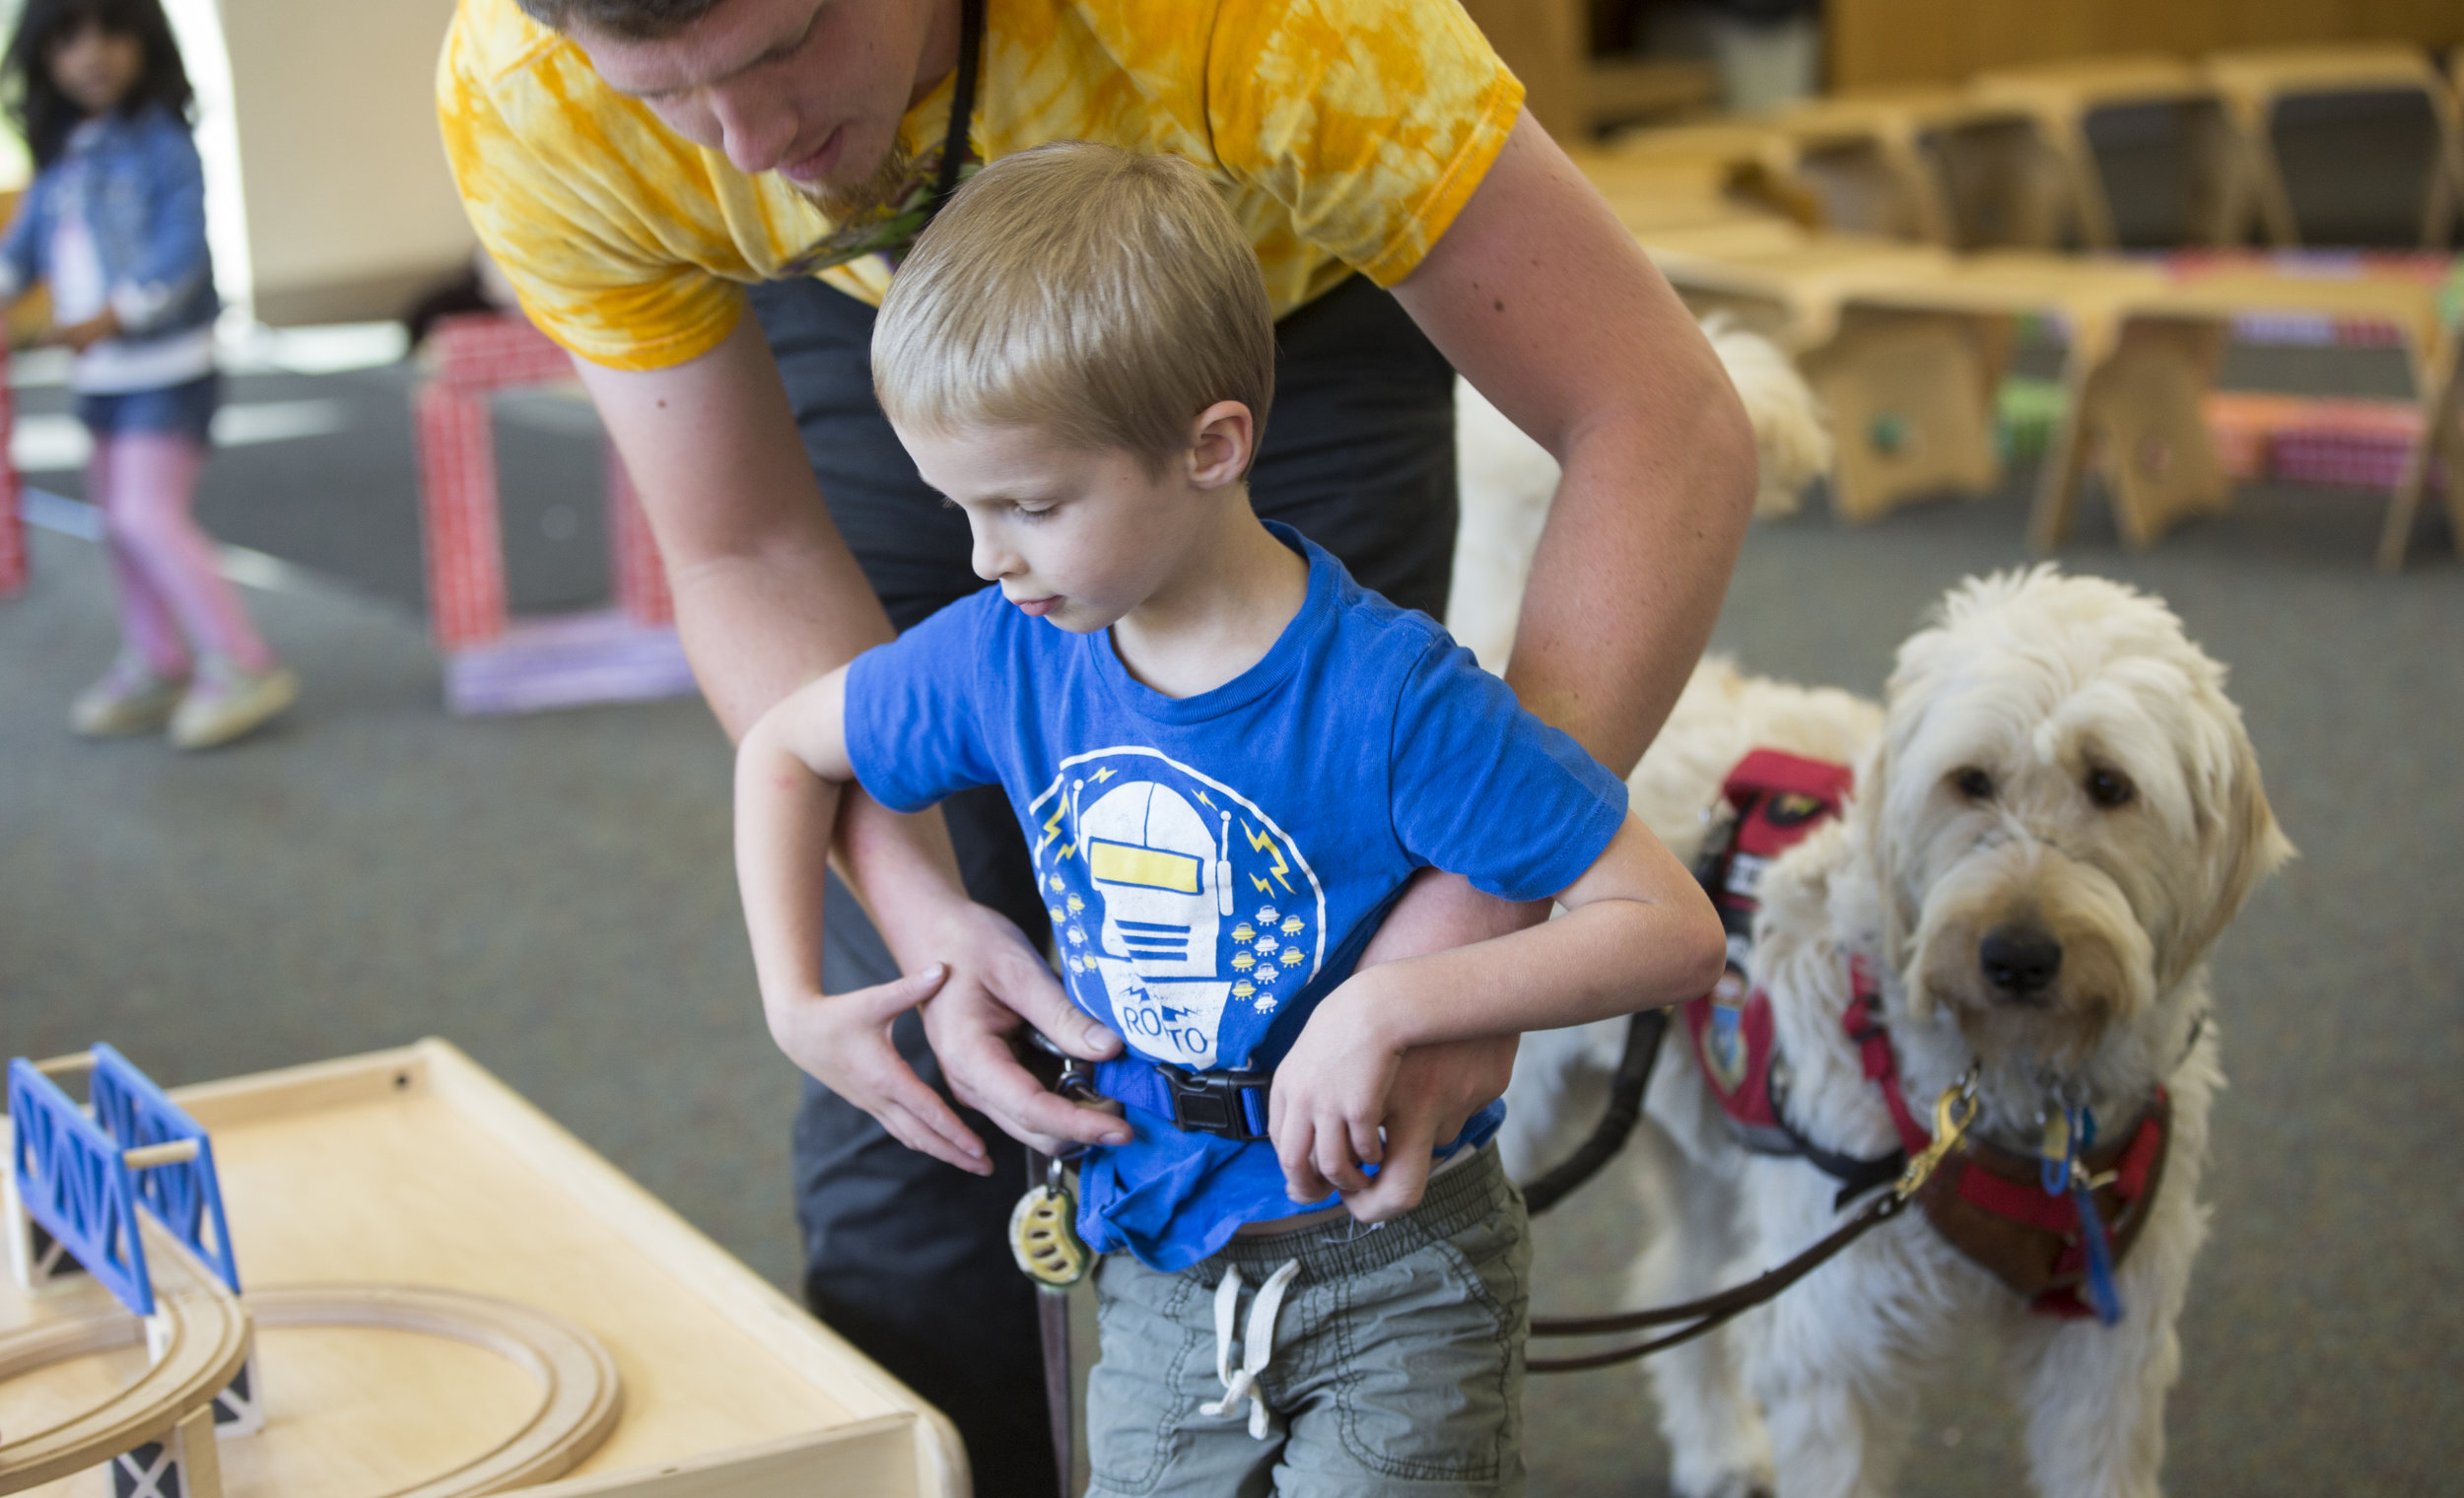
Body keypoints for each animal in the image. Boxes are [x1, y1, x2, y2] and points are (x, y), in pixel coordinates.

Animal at [1498, 574, 2287, 1498]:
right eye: (1971, 781)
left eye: (2109, 783)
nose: (2016, 957)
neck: (2018, 1093)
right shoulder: (1834, 1336)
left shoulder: (2106, 1347)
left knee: (1682, 1277)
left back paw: (1715, 1447)